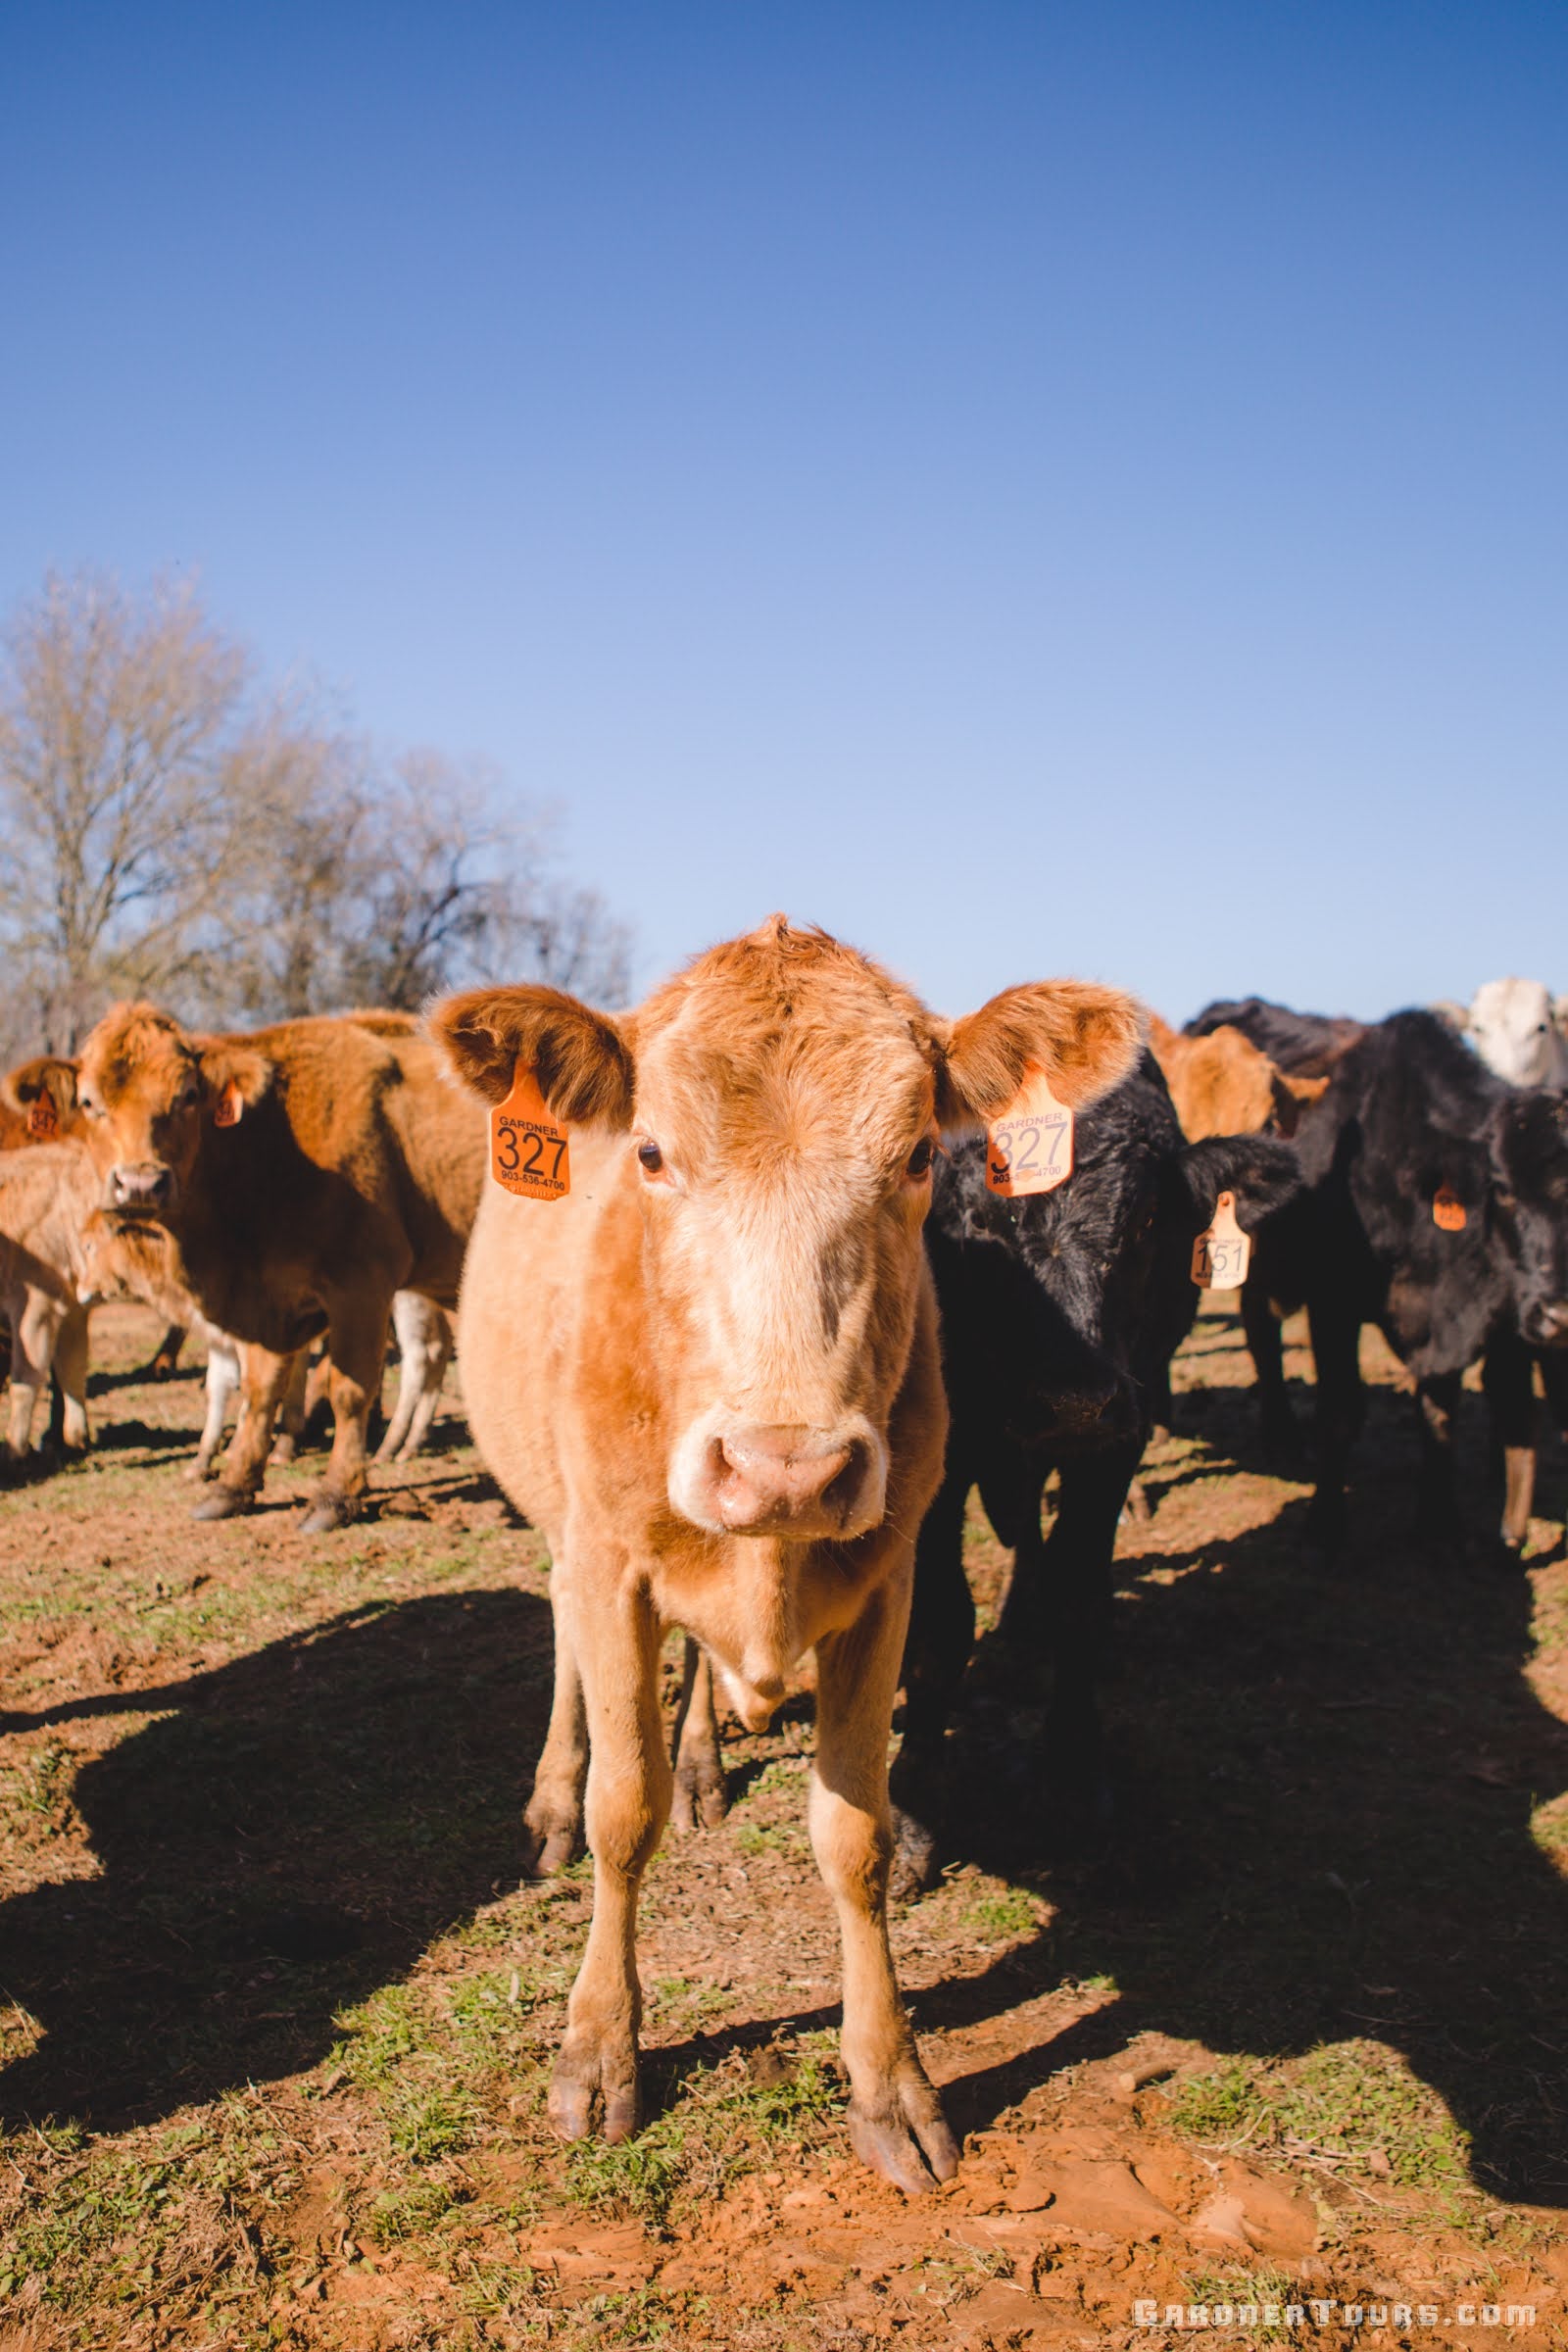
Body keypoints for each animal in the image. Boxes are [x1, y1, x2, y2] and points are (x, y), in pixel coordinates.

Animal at [429, 916, 1143, 2194]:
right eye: (650, 1153)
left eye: (918, 1157)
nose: (786, 1471)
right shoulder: (610, 1566)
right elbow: (623, 1813)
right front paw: (599, 2050)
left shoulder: (891, 1578)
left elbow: (855, 1836)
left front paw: (889, 2080)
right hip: (561, 1529)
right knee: (565, 1658)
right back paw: (556, 1791)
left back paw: (709, 1757)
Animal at [886, 1053, 1300, 1894]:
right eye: (977, 1223)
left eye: (1144, 1223)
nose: (1073, 1400)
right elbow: (941, 1627)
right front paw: (913, 1812)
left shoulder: (1117, 1440)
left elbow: (1078, 1593)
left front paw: (1074, 1776)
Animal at [1242, 1011, 1568, 1553]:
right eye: (1503, 1189)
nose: (1559, 1317)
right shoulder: (1332, 1303)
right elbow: (1339, 1412)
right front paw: (1325, 1524)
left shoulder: (1452, 1322)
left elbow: (1438, 1415)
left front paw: (1439, 1523)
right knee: (1262, 1335)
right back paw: (1282, 1437)